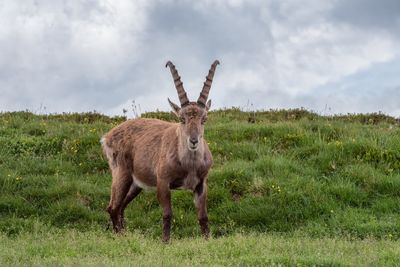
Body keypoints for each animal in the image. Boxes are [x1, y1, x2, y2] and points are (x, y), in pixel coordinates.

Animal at [100, 60, 219, 243]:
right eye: (181, 119)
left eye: (204, 119)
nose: (193, 141)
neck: (189, 164)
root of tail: (107, 136)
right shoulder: (163, 181)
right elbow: (167, 214)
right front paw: (165, 242)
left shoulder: (201, 184)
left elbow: (203, 216)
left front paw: (207, 241)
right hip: (121, 173)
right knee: (113, 207)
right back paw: (121, 238)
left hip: (136, 184)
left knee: (121, 206)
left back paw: (126, 234)